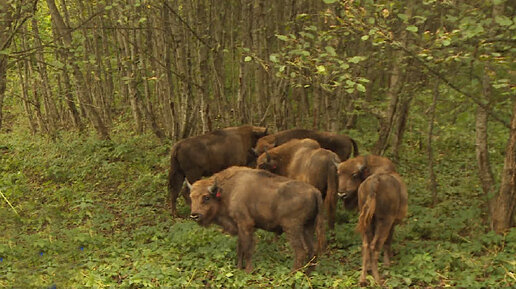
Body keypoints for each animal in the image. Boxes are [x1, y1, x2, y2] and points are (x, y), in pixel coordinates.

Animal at [187, 165, 324, 272]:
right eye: (191, 197)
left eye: (206, 197)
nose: (194, 215)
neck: (228, 191)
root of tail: (314, 191)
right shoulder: (240, 227)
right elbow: (240, 248)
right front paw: (238, 268)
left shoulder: (246, 224)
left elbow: (247, 248)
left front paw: (248, 270)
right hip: (307, 227)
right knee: (312, 249)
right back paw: (309, 273)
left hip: (292, 228)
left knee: (300, 251)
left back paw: (292, 273)